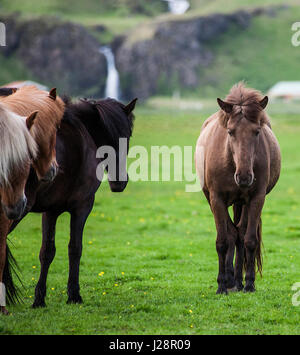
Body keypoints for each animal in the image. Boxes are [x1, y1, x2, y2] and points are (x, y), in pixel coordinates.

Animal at [1, 93, 137, 312]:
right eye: (127, 135)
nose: (119, 182)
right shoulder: (82, 206)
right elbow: (75, 248)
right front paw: (74, 295)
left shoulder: (51, 211)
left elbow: (47, 252)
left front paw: (39, 299)